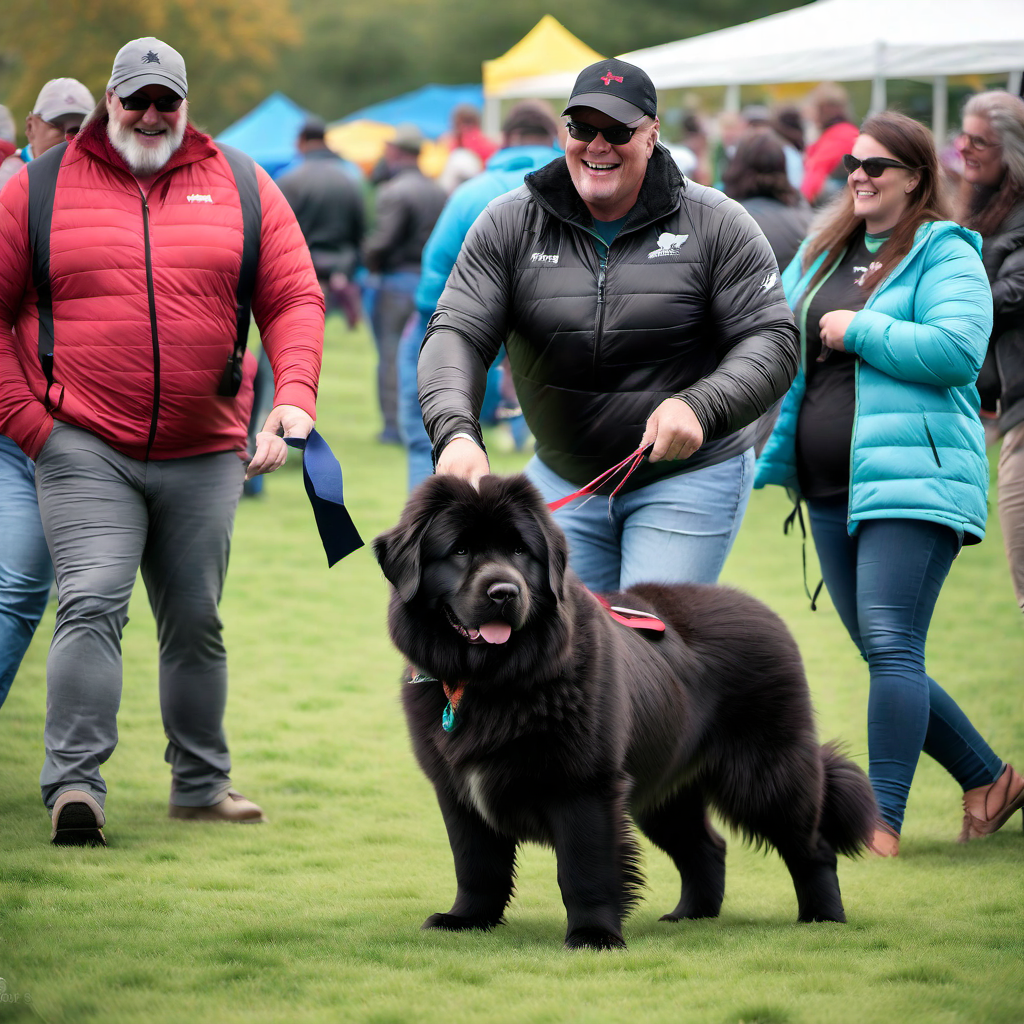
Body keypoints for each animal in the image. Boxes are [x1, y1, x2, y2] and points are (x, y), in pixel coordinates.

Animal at [374, 475, 872, 946]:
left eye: (519, 551)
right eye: (459, 550)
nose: (503, 591)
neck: (493, 682)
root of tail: (767, 613)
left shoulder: (585, 787)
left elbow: (585, 869)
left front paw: (594, 936)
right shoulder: (458, 790)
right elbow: (476, 864)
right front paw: (465, 920)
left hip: (767, 775)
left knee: (812, 846)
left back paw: (824, 918)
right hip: (666, 787)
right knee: (706, 847)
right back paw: (691, 915)